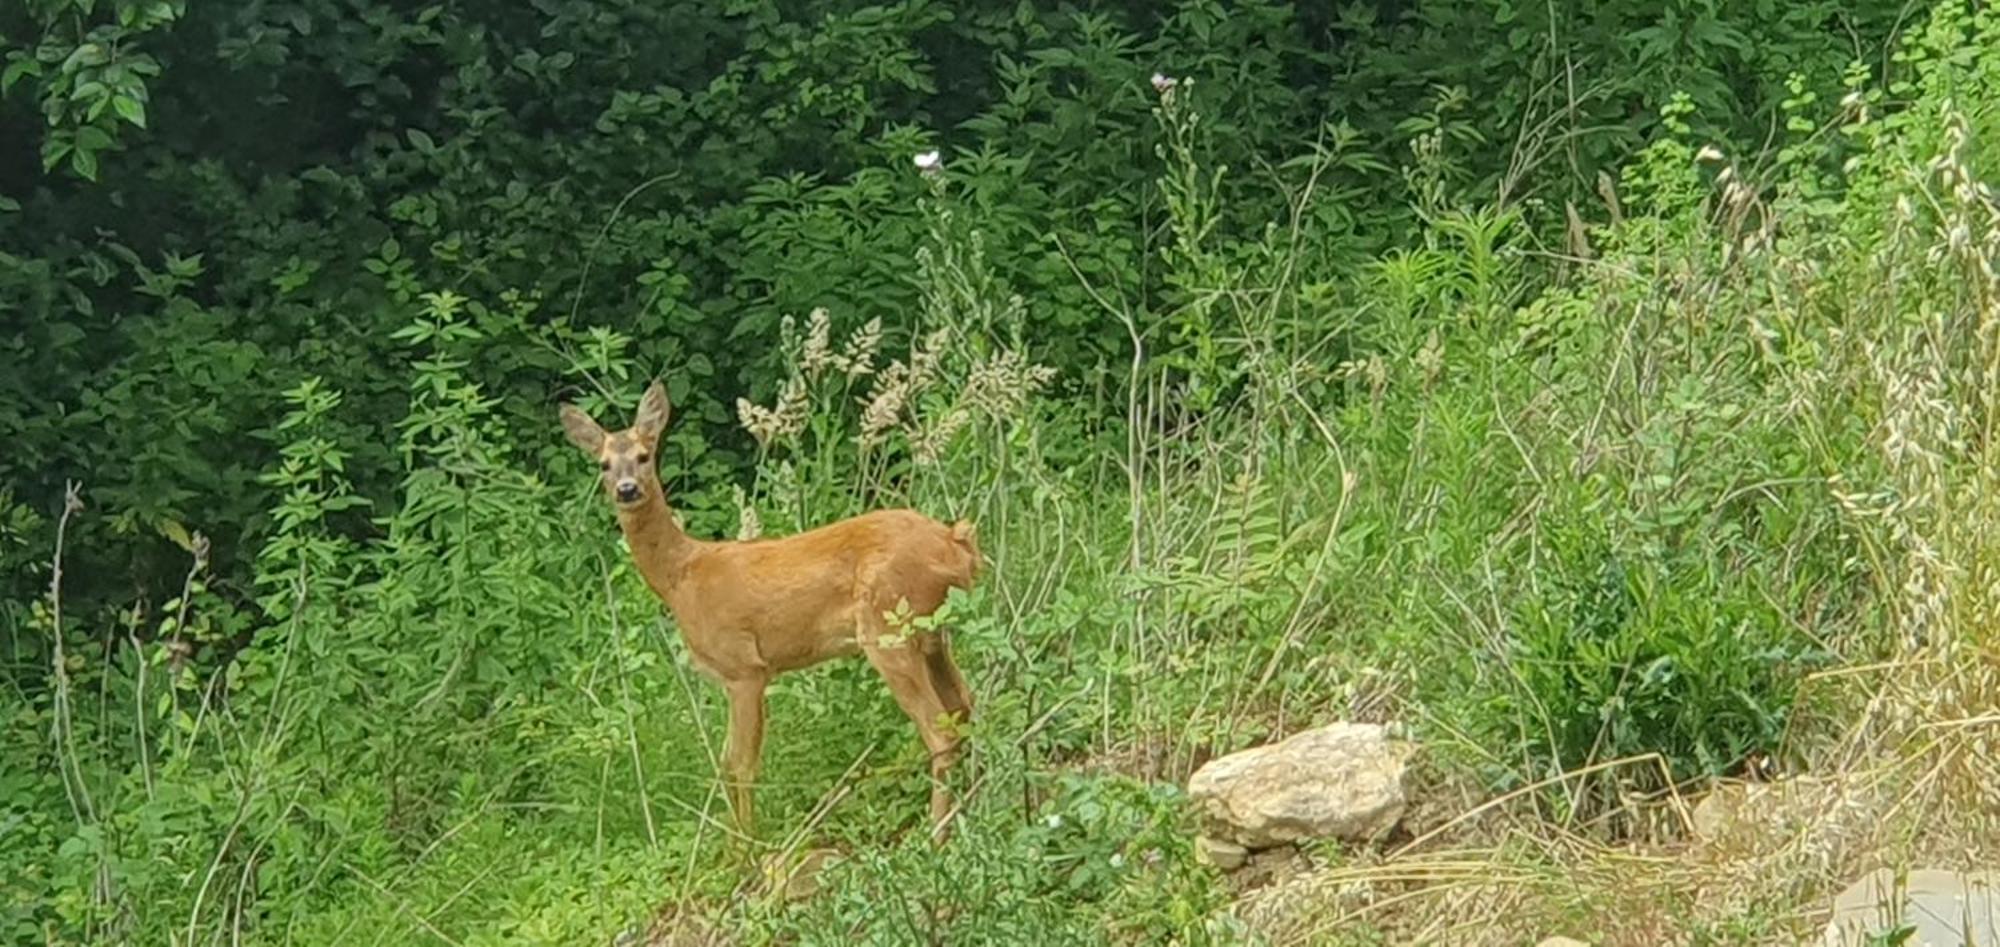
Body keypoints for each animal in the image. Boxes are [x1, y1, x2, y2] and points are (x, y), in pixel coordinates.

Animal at [560, 381, 980, 839]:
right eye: (603, 465)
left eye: (642, 456)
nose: (627, 489)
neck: (682, 577)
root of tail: (955, 543)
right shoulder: (733, 676)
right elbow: (725, 761)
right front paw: (732, 841)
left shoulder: (745, 667)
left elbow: (742, 763)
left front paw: (747, 842)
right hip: (931, 634)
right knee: (964, 706)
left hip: (889, 627)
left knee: (939, 730)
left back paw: (936, 834)